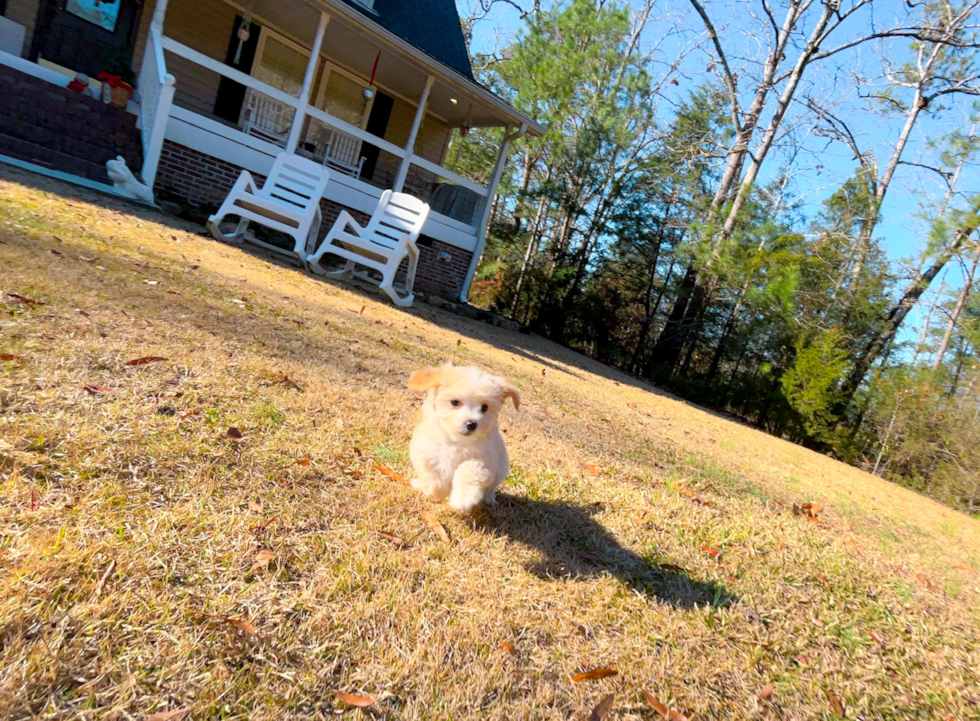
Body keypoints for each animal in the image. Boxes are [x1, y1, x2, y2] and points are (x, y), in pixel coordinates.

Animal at [408, 366, 520, 512]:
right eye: (455, 402)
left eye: (485, 407)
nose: (471, 424)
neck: (456, 441)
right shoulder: (424, 452)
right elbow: (432, 475)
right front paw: (439, 490)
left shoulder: (485, 462)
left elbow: (469, 469)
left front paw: (463, 498)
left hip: (500, 468)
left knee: (491, 488)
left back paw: (489, 499)